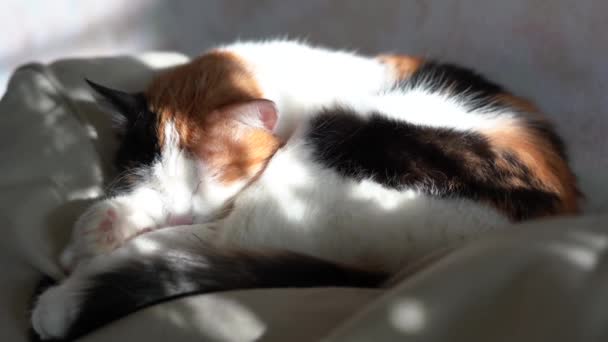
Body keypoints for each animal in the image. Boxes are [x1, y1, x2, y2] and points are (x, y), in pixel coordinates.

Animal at [29, 39, 580, 340]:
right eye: (156, 180)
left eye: (210, 175)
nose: (182, 212)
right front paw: (105, 222)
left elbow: (180, 236)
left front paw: (88, 244)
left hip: (332, 154)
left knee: (199, 246)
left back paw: (60, 300)